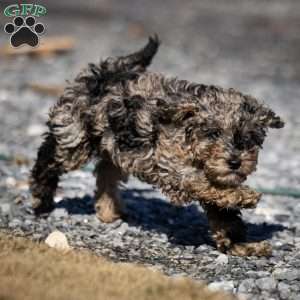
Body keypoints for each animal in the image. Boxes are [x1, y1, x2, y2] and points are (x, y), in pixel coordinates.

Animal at [29, 35, 284, 255]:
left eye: (247, 139)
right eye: (213, 134)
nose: (235, 162)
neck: (189, 137)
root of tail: (106, 72)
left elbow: (224, 214)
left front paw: (241, 245)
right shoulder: (176, 170)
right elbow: (206, 186)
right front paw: (245, 196)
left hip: (116, 144)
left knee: (106, 172)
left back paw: (109, 212)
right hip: (75, 133)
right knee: (50, 157)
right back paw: (42, 199)